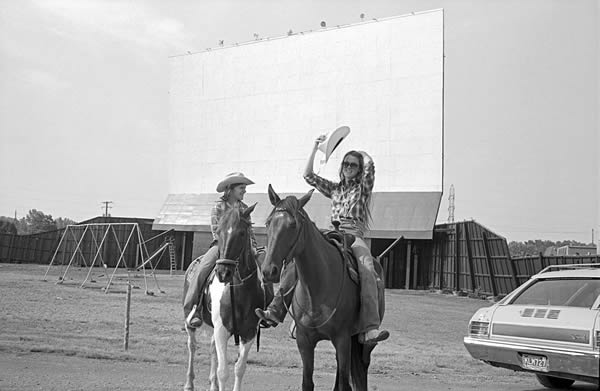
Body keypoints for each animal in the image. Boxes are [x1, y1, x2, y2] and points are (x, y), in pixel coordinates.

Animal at [183, 205, 268, 391]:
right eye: (219, 231)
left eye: (242, 233)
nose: (223, 273)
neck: (239, 293)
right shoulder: (222, 329)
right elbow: (223, 371)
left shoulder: (249, 333)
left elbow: (239, 368)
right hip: (191, 320)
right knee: (192, 345)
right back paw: (189, 383)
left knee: (212, 349)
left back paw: (212, 385)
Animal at [262, 186, 384, 391]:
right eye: (268, 223)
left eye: (293, 225)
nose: (268, 270)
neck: (317, 289)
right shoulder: (304, 341)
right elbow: (308, 382)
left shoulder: (342, 338)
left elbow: (345, 384)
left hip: (362, 341)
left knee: (362, 366)